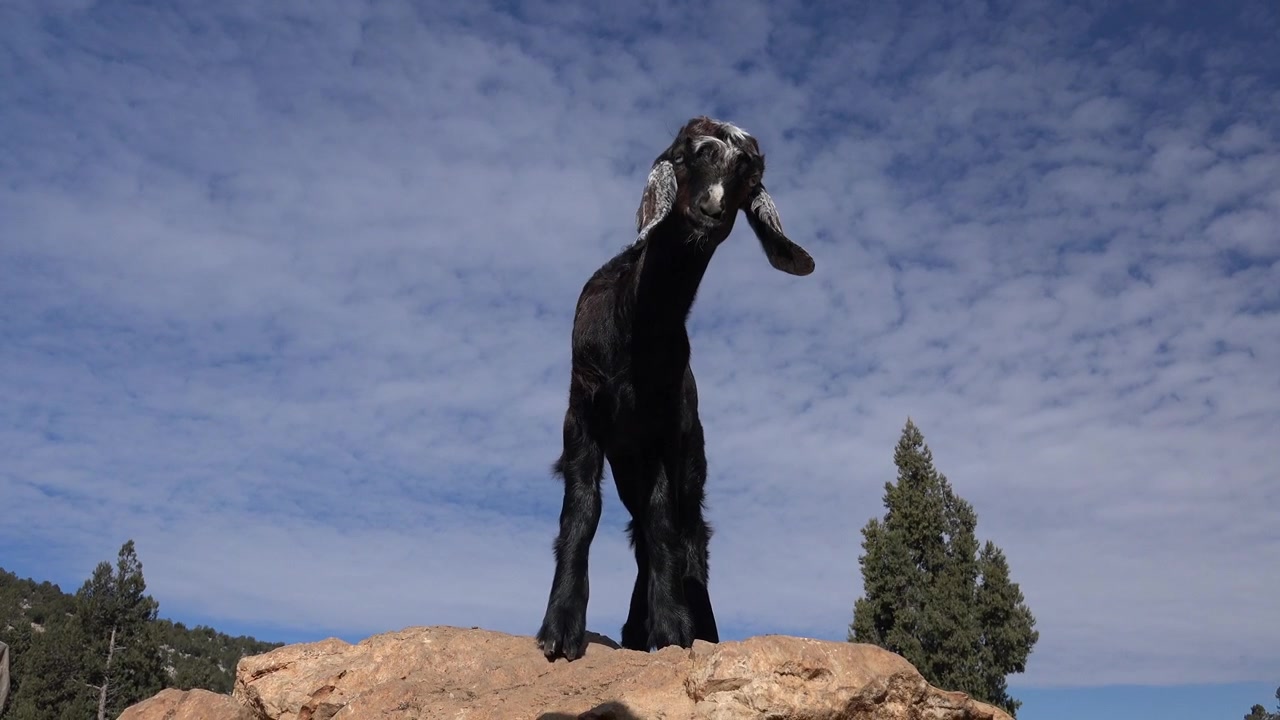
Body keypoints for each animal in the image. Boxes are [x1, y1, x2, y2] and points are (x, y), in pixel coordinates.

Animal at [535, 116, 815, 661]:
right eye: (688, 155)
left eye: (749, 175)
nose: (711, 209)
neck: (636, 329)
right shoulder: (582, 415)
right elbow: (581, 512)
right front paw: (560, 629)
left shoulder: (665, 432)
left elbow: (665, 525)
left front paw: (671, 629)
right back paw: (632, 629)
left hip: (691, 461)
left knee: (686, 536)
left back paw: (694, 626)